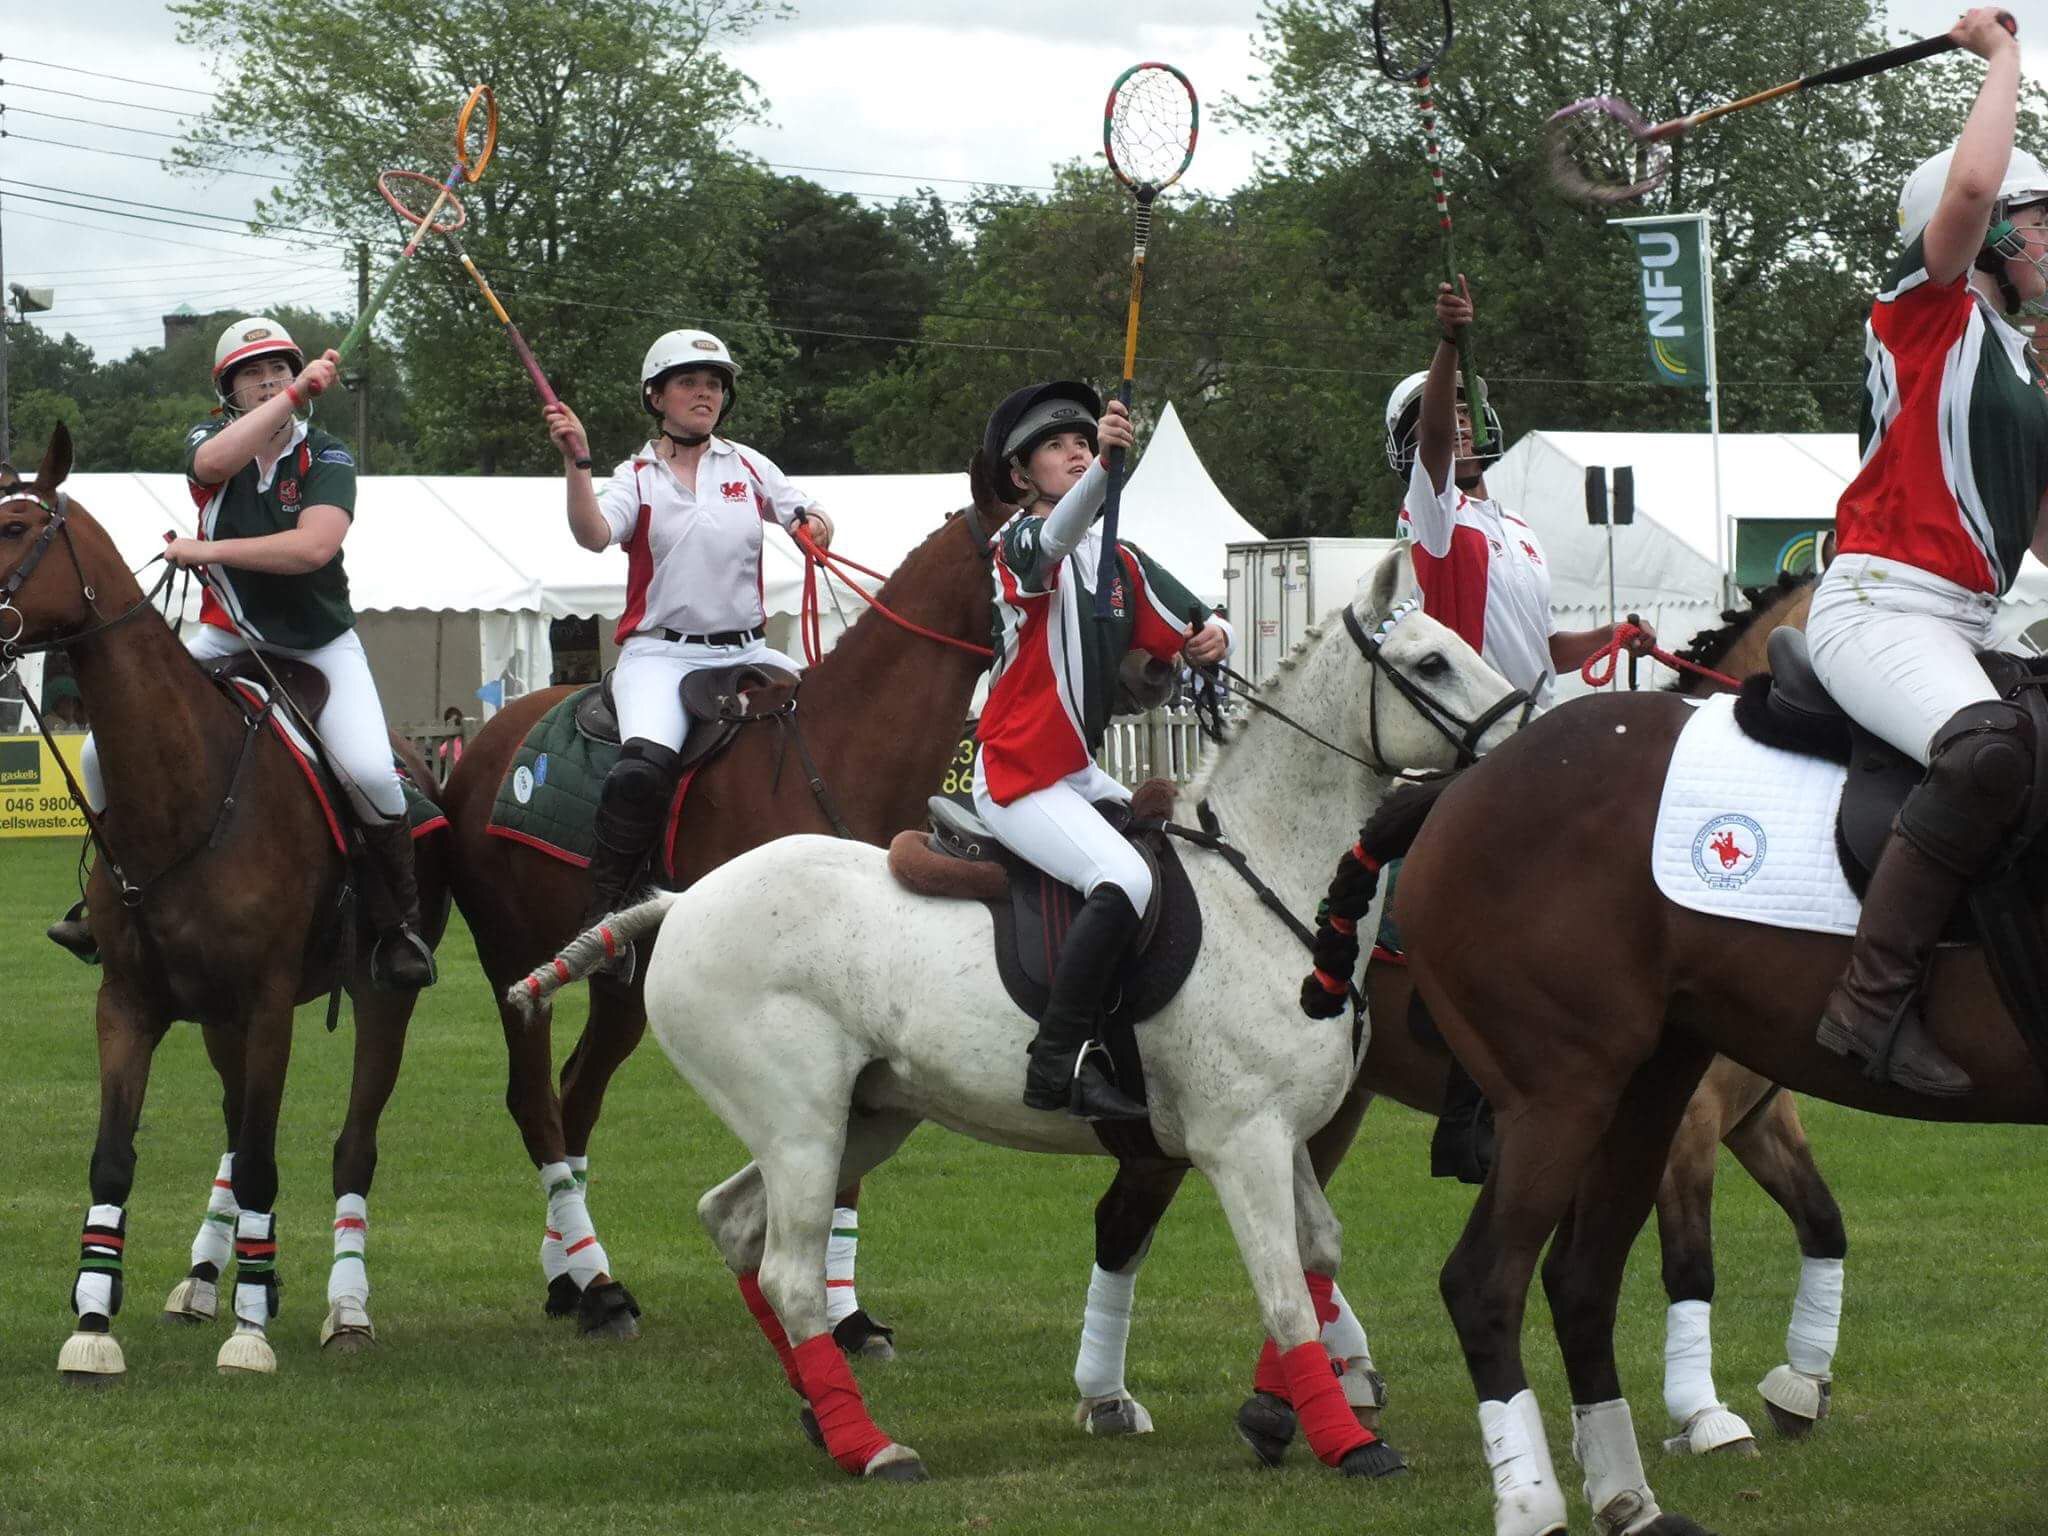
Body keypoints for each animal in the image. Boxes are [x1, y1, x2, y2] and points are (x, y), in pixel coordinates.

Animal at [1, 426, 449, 1381]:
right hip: (215, 1020)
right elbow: (115, 1159)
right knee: (238, 1129)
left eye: (17, 527)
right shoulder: (129, 1002)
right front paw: (93, 1322)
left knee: (350, 1145)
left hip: (377, 995)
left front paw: (250, 1336)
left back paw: (342, 1309)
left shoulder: (270, 1000)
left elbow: (265, 1167)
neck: (187, 790)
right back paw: (214, 1280)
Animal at [436, 500, 998, 1336]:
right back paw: (597, 1287)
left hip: (624, 985)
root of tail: (476, 751)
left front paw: (850, 1317)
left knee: (577, 1094)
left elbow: (844, 1174)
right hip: (513, 958)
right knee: (536, 1102)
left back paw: (572, 1277)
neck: (838, 753)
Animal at [514, 544, 1533, 1482]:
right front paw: (1345, 1440)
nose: (1522, 746)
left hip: (862, 1117)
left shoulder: (1285, 1136)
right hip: (799, 1120)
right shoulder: (1238, 1140)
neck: (1264, 881)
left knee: (731, 1222)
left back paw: (819, 1412)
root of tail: (683, 899)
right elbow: (1285, 1292)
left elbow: (1318, 1256)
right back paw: (872, 1447)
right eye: (1431, 663)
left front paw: (1290, 1413)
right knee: (790, 1274)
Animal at [1061, 566, 1845, 1456]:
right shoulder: (1686, 1121)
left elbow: (1822, 1222)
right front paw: (1704, 1413)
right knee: (1127, 1223)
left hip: (1330, 1106)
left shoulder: (1758, 1116)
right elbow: (1689, 1265)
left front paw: (1803, 1379)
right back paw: (1133, 1393)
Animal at [1388, 670, 2048, 1535]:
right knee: (1485, 1281)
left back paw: (1630, 1501)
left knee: (1580, 1278)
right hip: (1557, 1094)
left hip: (1643, 1089)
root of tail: (1464, 782)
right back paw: (1532, 1501)